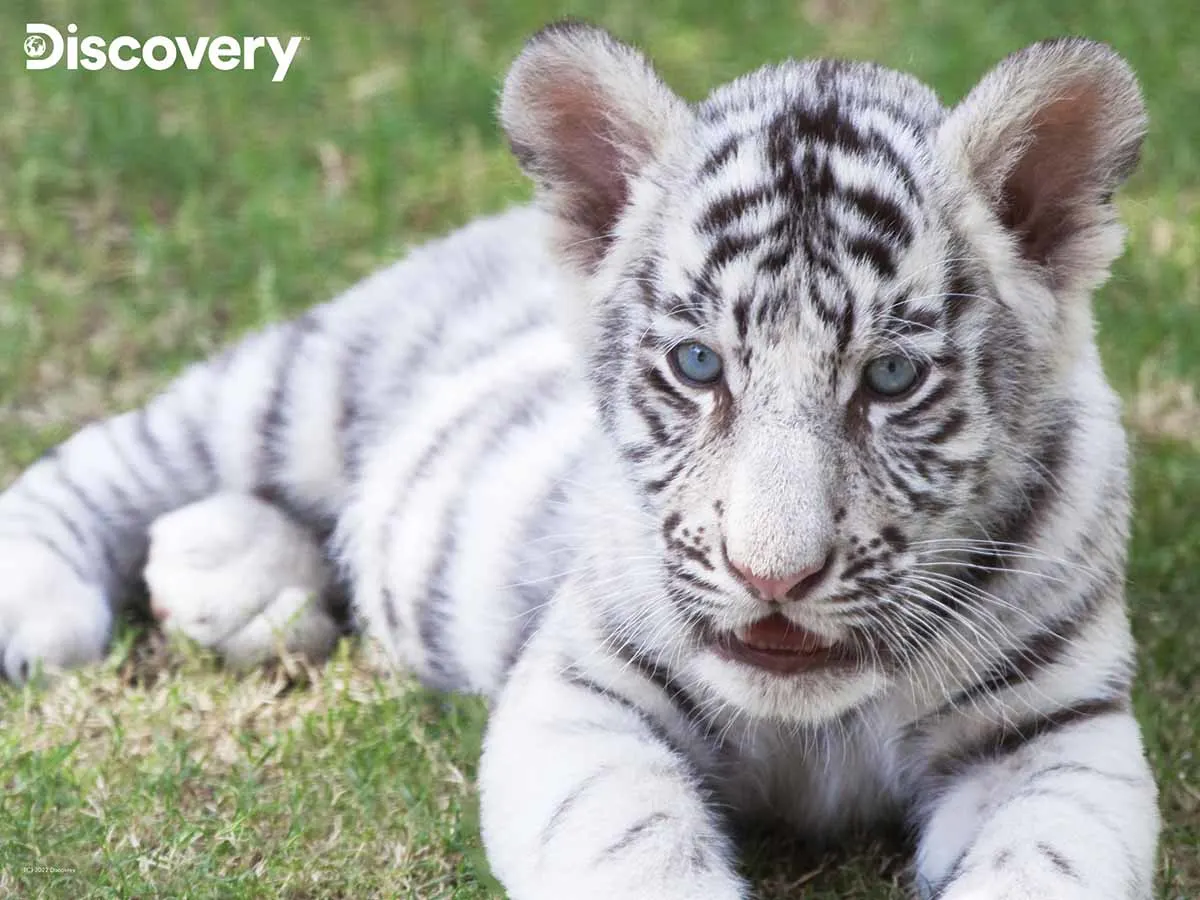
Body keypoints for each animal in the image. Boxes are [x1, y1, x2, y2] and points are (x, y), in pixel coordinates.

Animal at [0, 21, 1159, 900]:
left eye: (889, 377)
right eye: (698, 364)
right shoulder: (582, 690)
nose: (772, 578)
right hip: (309, 382)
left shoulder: (1055, 735)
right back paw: (45, 603)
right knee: (129, 450)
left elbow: (1047, 866)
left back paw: (234, 582)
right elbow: (637, 851)